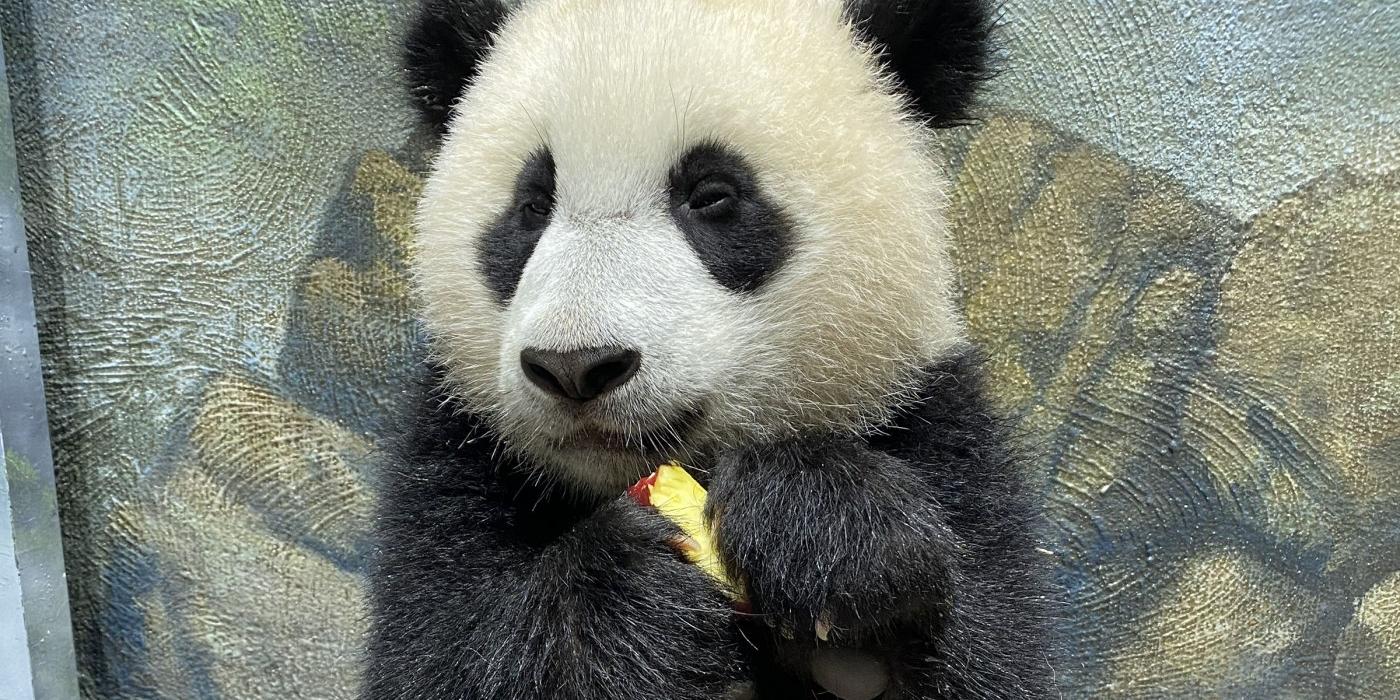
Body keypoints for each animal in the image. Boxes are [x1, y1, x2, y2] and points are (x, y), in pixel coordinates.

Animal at [366, 0, 1052, 697]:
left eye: (711, 196)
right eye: (532, 205)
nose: (575, 366)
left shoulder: (936, 423)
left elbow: (983, 646)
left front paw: (822, 533)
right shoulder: (453, 464)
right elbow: (440, 655)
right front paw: (628, 592)